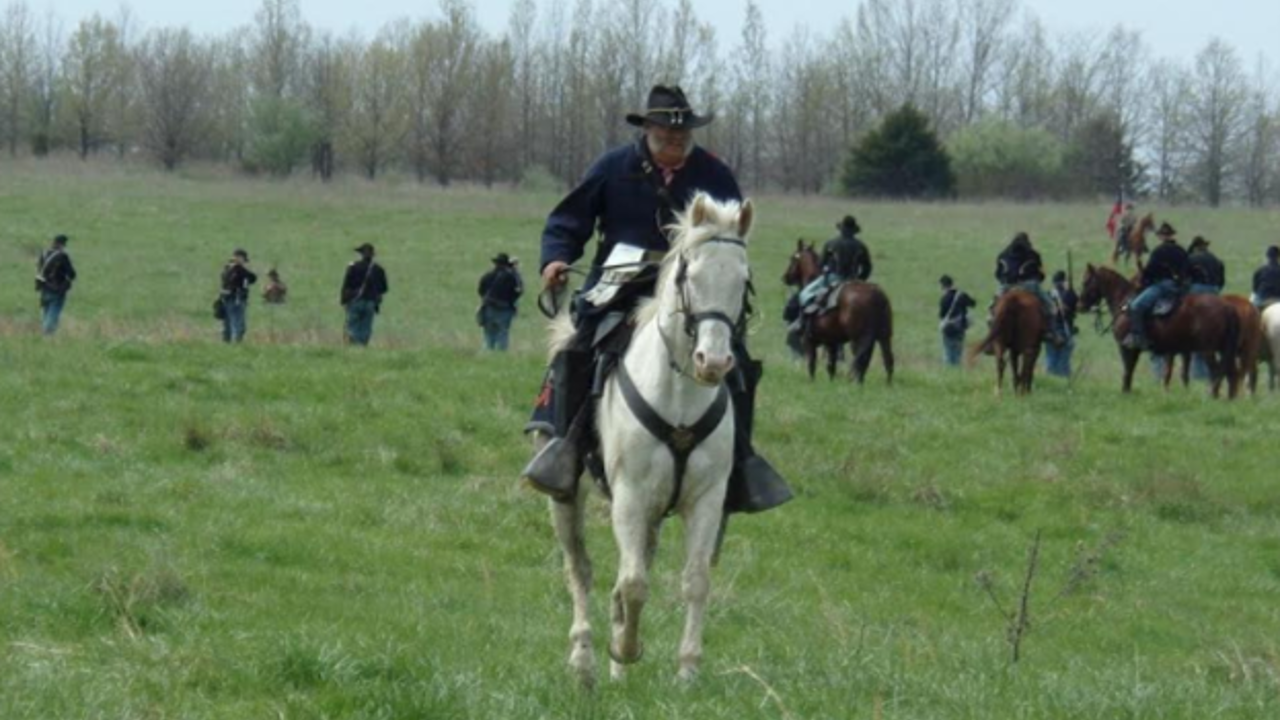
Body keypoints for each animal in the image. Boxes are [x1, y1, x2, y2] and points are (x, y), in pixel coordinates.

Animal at [547, 190, 747, 681]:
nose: (714, 362)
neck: (678, 394)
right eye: (688, 273)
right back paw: (585, 661)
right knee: (580, 568)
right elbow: (633, 583)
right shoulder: (631, 495)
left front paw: (687, 672)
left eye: (743, 281)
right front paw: (625, 649)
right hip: (567, 497)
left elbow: (695, 580)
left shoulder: (705, 498)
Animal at [773, 239, 896, 381]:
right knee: (886, 361)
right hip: (884, 336)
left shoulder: (809, 341)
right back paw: (885, 384)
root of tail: (877, 295)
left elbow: (812, 364)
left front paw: (811, 382)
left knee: (860, 360)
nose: (785, 277)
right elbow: (831, 366)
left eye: (792, 258)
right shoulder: (832, 342)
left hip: (859, 338)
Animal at [1080, 263, 1239, 397]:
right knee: (1230, 373)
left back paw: (1213, 395)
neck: (1124, 303)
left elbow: (1127, 370)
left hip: (1208, 350)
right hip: (1221, 349)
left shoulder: (1126, 347)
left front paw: (1125, 392)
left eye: (1086, 282)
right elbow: (1133, 370)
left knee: (1217, 371)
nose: (1080, 305)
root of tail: (1226, 307)